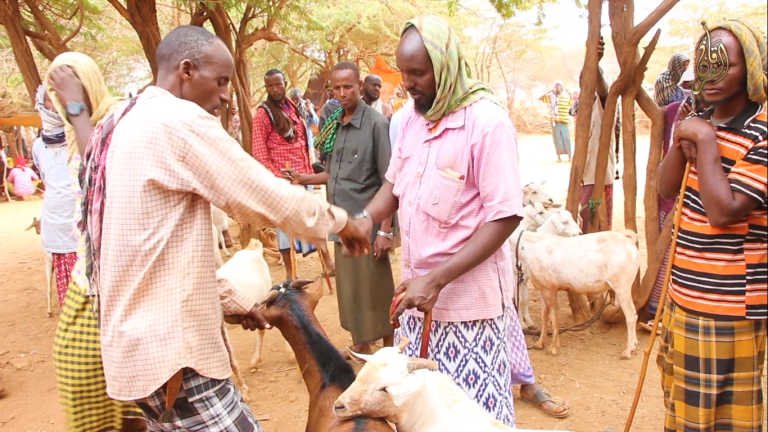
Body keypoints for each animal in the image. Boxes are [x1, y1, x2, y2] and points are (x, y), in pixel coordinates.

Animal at [516, 212, 640, 358]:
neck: (530, 246)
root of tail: (629, 241)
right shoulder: (543, 288)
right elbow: (544, 315)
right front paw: (540, 343)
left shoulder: (550, 288)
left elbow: (554, 316)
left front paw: (553, 347)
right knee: (634, 313)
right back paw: (634, 344)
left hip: (621, 285)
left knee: (631, 316)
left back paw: (628, 350)